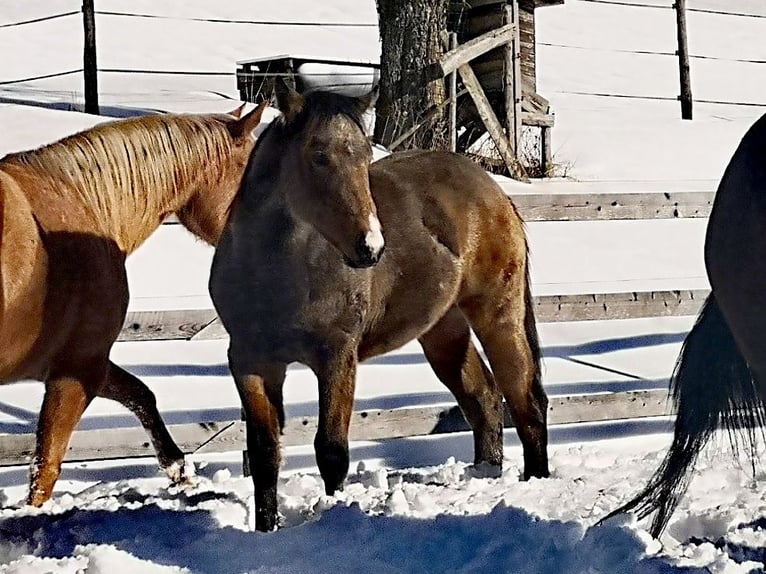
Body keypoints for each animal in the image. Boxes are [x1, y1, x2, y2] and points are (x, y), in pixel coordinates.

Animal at [0, 101, 266, 506]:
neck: (83, 205)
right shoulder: (77, 370)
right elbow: (45, 468)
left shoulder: (83, 365)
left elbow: (143, 395)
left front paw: (179, 470)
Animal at [210, 79, 549, 532]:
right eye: (318, 155)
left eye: (366, 157)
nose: (370, 246)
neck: (275, 275)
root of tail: (495, 193)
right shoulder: (251, 361)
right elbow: (265, 453)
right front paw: (268, 528)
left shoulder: (337, 356)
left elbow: (331, 451)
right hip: (444, 331)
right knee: (484, 399)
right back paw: (487, 473)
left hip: (498, 314)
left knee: (525, 398)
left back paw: (536, 481)